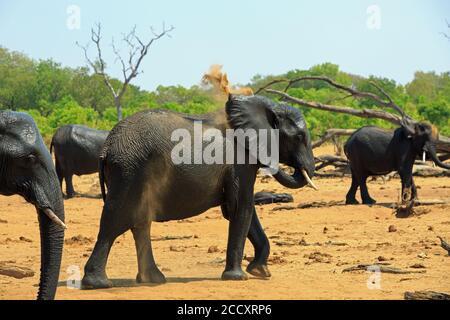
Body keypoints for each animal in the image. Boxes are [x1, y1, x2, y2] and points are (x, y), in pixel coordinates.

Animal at [81, 94, 316, 288]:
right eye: (299, 137)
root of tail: (107, 148)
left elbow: (242, 210)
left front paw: (260, 272)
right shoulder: (239, 161)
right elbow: (240, 208)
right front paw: (238, 277)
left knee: (140, 222)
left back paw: (152, 280)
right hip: (129, 171)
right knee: (115, 220)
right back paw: (99, 284)